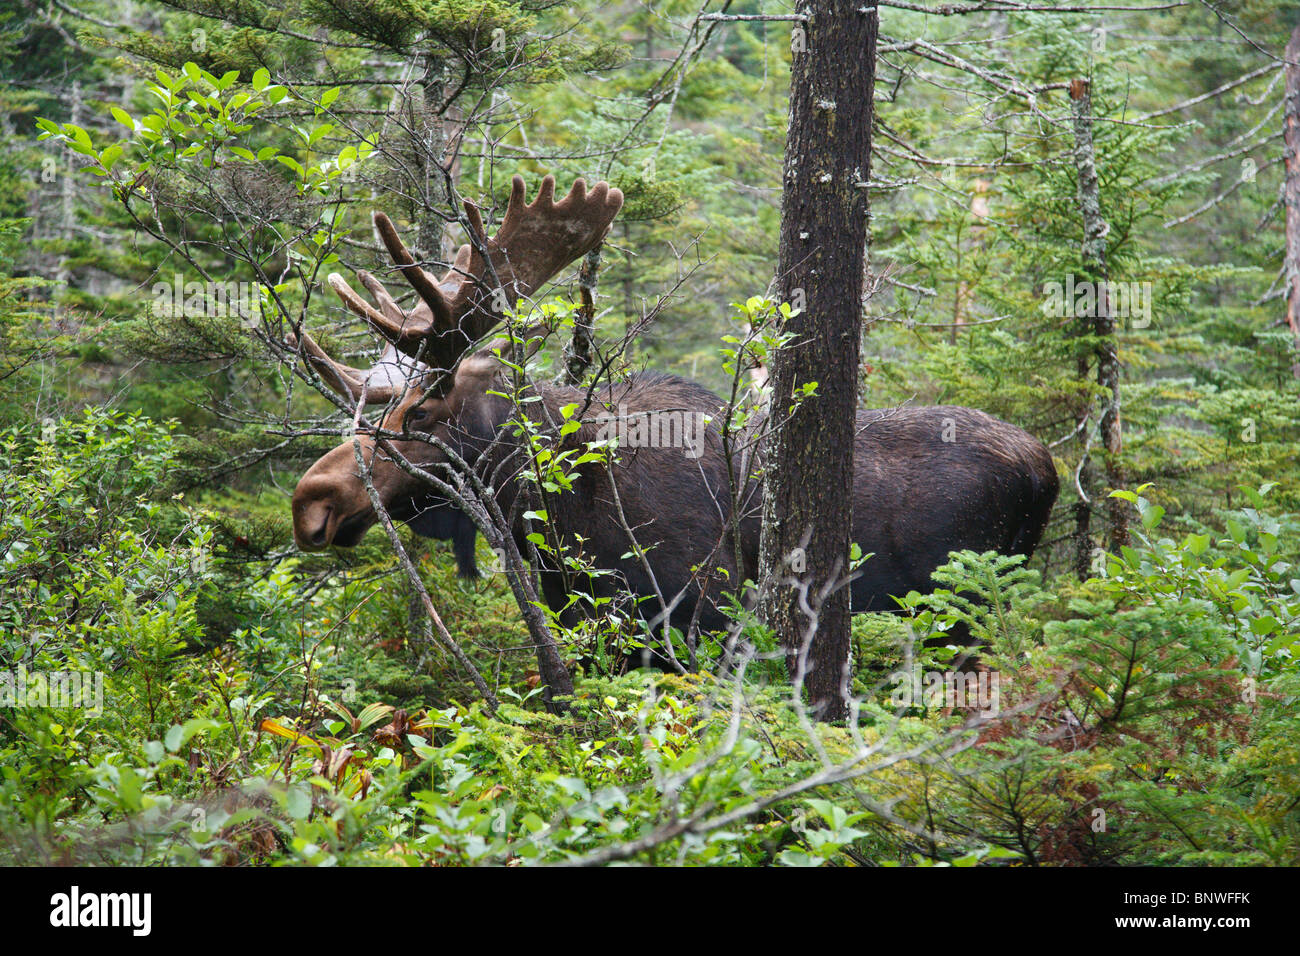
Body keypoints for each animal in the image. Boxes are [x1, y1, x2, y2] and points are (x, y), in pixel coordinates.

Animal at [288, 174, 1059, 682]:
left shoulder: (704, 608)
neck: (554, 509)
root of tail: (1044, 467)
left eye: (420, 413)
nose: (310, 501)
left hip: (963, 608)